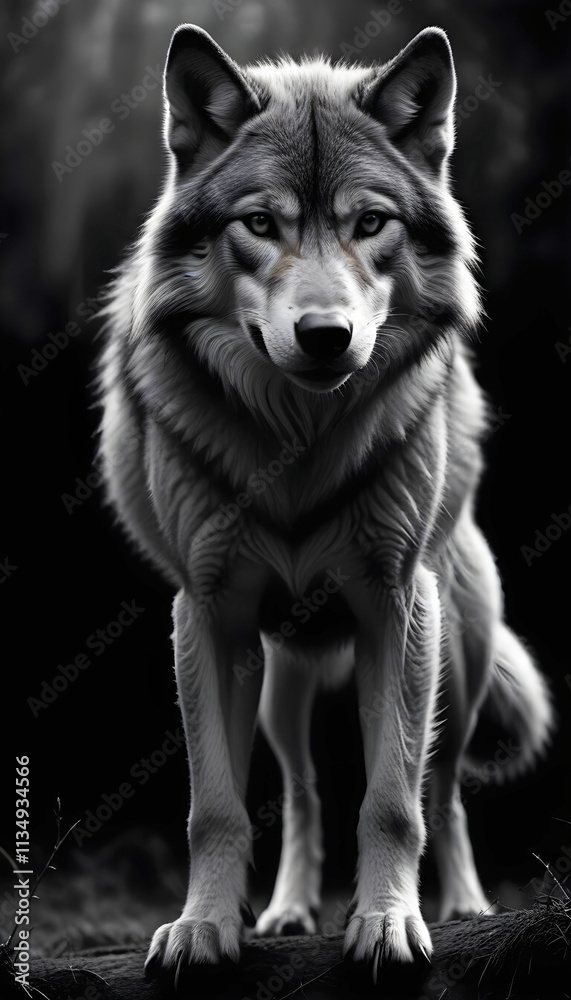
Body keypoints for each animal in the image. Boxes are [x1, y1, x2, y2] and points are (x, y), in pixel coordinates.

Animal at [97, 23, 553, 982]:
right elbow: (215, 806)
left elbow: (391, 800)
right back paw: (287, 910)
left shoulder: (395, 605)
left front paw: (386, 924)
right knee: (301, 790)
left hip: (457, 655)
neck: (297, 448)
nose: (325, 336)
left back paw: (462, 902)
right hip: (281, 685)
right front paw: (203, 928)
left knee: (444, 787)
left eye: (369, 223)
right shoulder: (207, 614)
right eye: (259, 223)